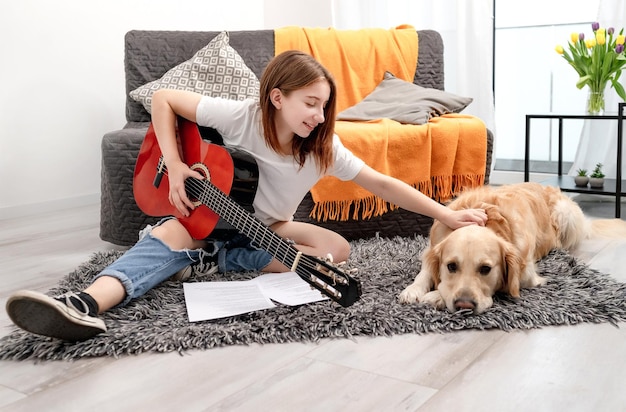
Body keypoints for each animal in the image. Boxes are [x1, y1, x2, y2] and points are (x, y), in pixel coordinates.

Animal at [400, 182, 624, 314]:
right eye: (451, 266)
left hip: (565, 213)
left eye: (486, 269)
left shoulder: (527, 272)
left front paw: (435, 296)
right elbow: (425, 272)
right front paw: (413, 290)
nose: (464, 305)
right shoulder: (431, 248)